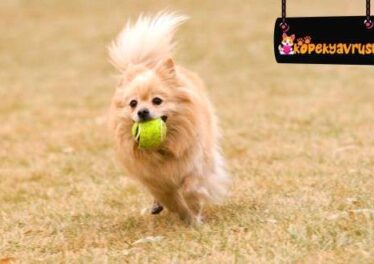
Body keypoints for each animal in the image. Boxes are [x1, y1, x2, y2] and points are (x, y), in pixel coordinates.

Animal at [107, 11, 228, 223]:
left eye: (157, 100)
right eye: (133, 103)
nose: (142, 111)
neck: (165, 146)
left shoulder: (197, 165)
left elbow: (190, 189)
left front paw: (194, 214)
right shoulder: (156, 181)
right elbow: (173, 200)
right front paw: (186, 217)